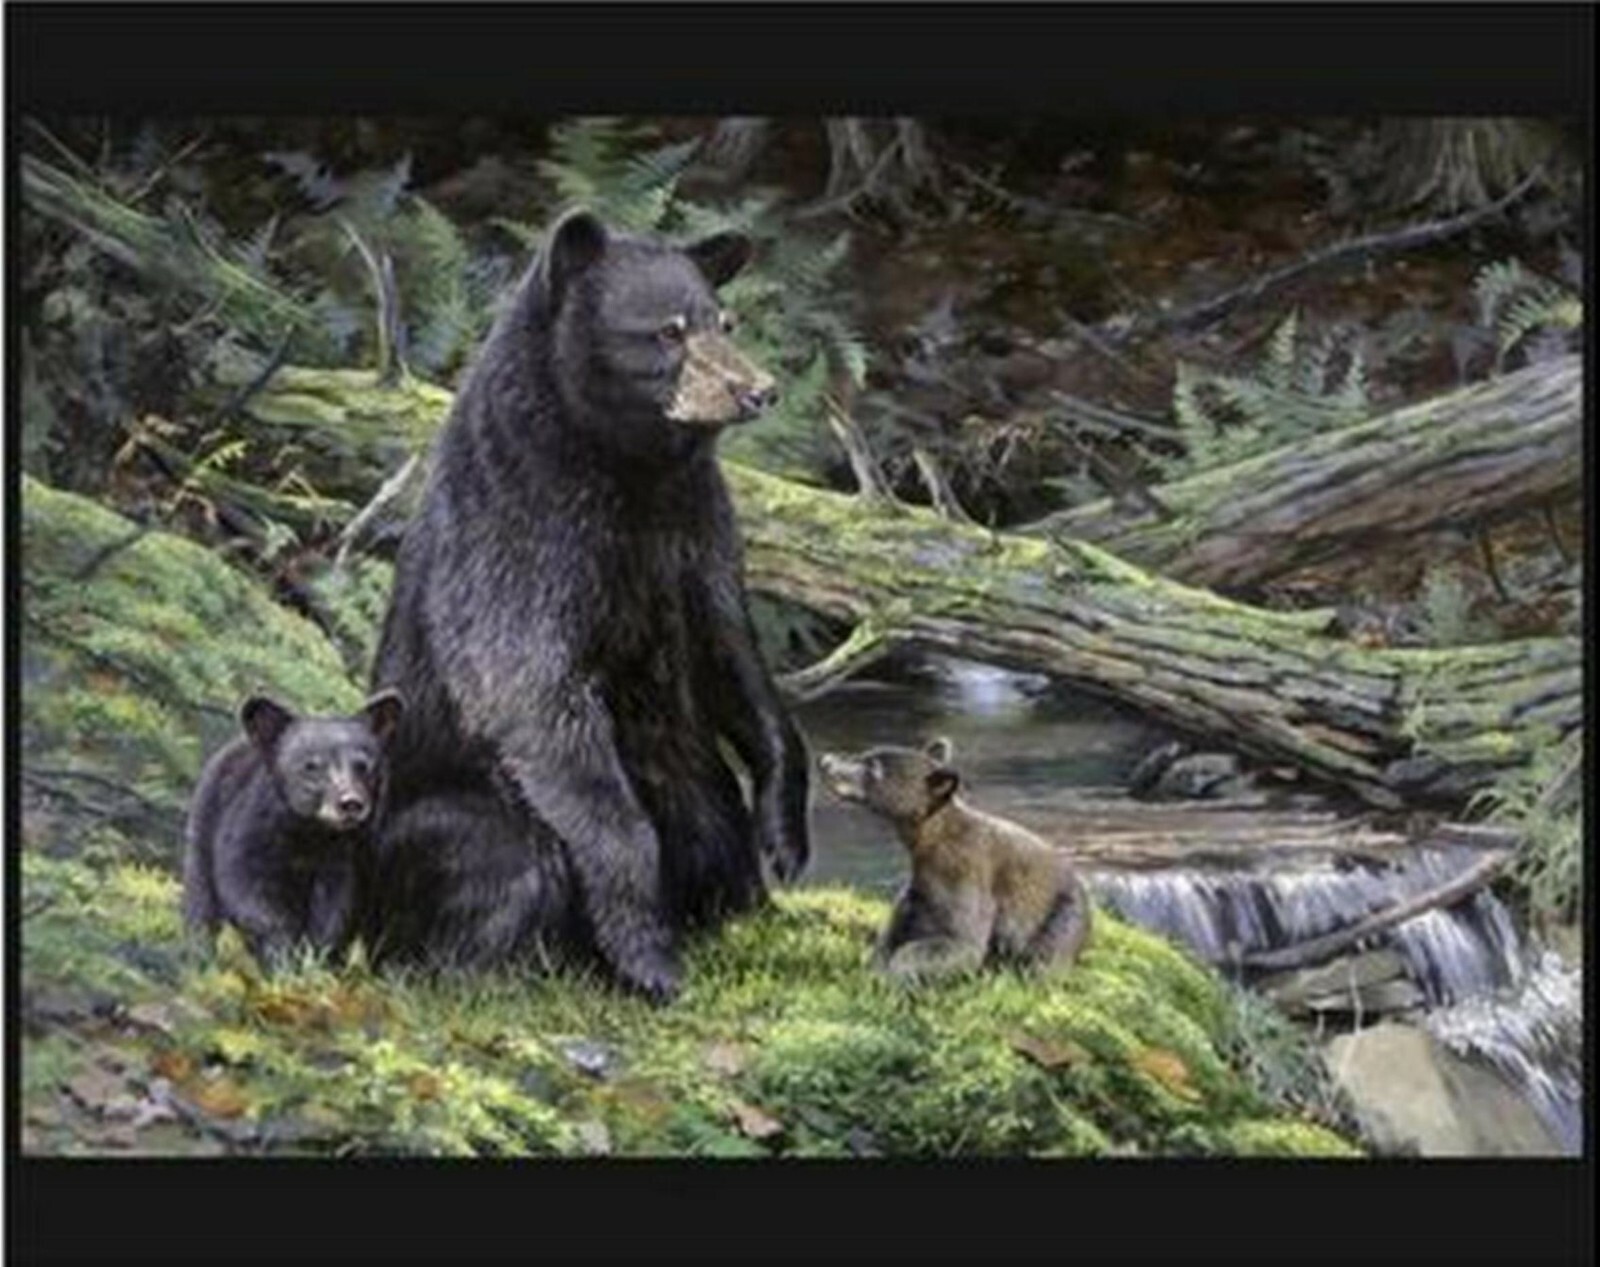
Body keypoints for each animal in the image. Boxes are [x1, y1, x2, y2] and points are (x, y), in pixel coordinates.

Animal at [182, 689, 404, 969]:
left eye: (364, 766)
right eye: (312, 766)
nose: (350, 803)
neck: (307, 834)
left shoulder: (343, 856)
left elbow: (335, 906)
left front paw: (314, 960)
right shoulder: (249, 832)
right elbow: (246, 889)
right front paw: (283, 955)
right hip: (204, 824)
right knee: (200, 899)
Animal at [364, 208, 812, 1002]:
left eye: (723, 319)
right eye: (667, 330)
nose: (758, 389)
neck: (627, 466)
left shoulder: (692, 525)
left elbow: (729, 647)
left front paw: (785, 837)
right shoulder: (523, 528)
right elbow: (529, 688)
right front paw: (647, 954)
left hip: (684, 765)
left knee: (707, 812)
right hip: (428, 815)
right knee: (504, 856)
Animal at [818, 737, 1093, 983]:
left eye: (874, 767)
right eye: (865, 754)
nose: (826, 761)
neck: (928, 843)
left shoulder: (963, 873)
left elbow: (960, 941)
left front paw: (895, 975)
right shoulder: (919, 890)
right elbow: (894, 932)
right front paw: (876, 965)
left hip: (1062, 913)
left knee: (1045, 955)